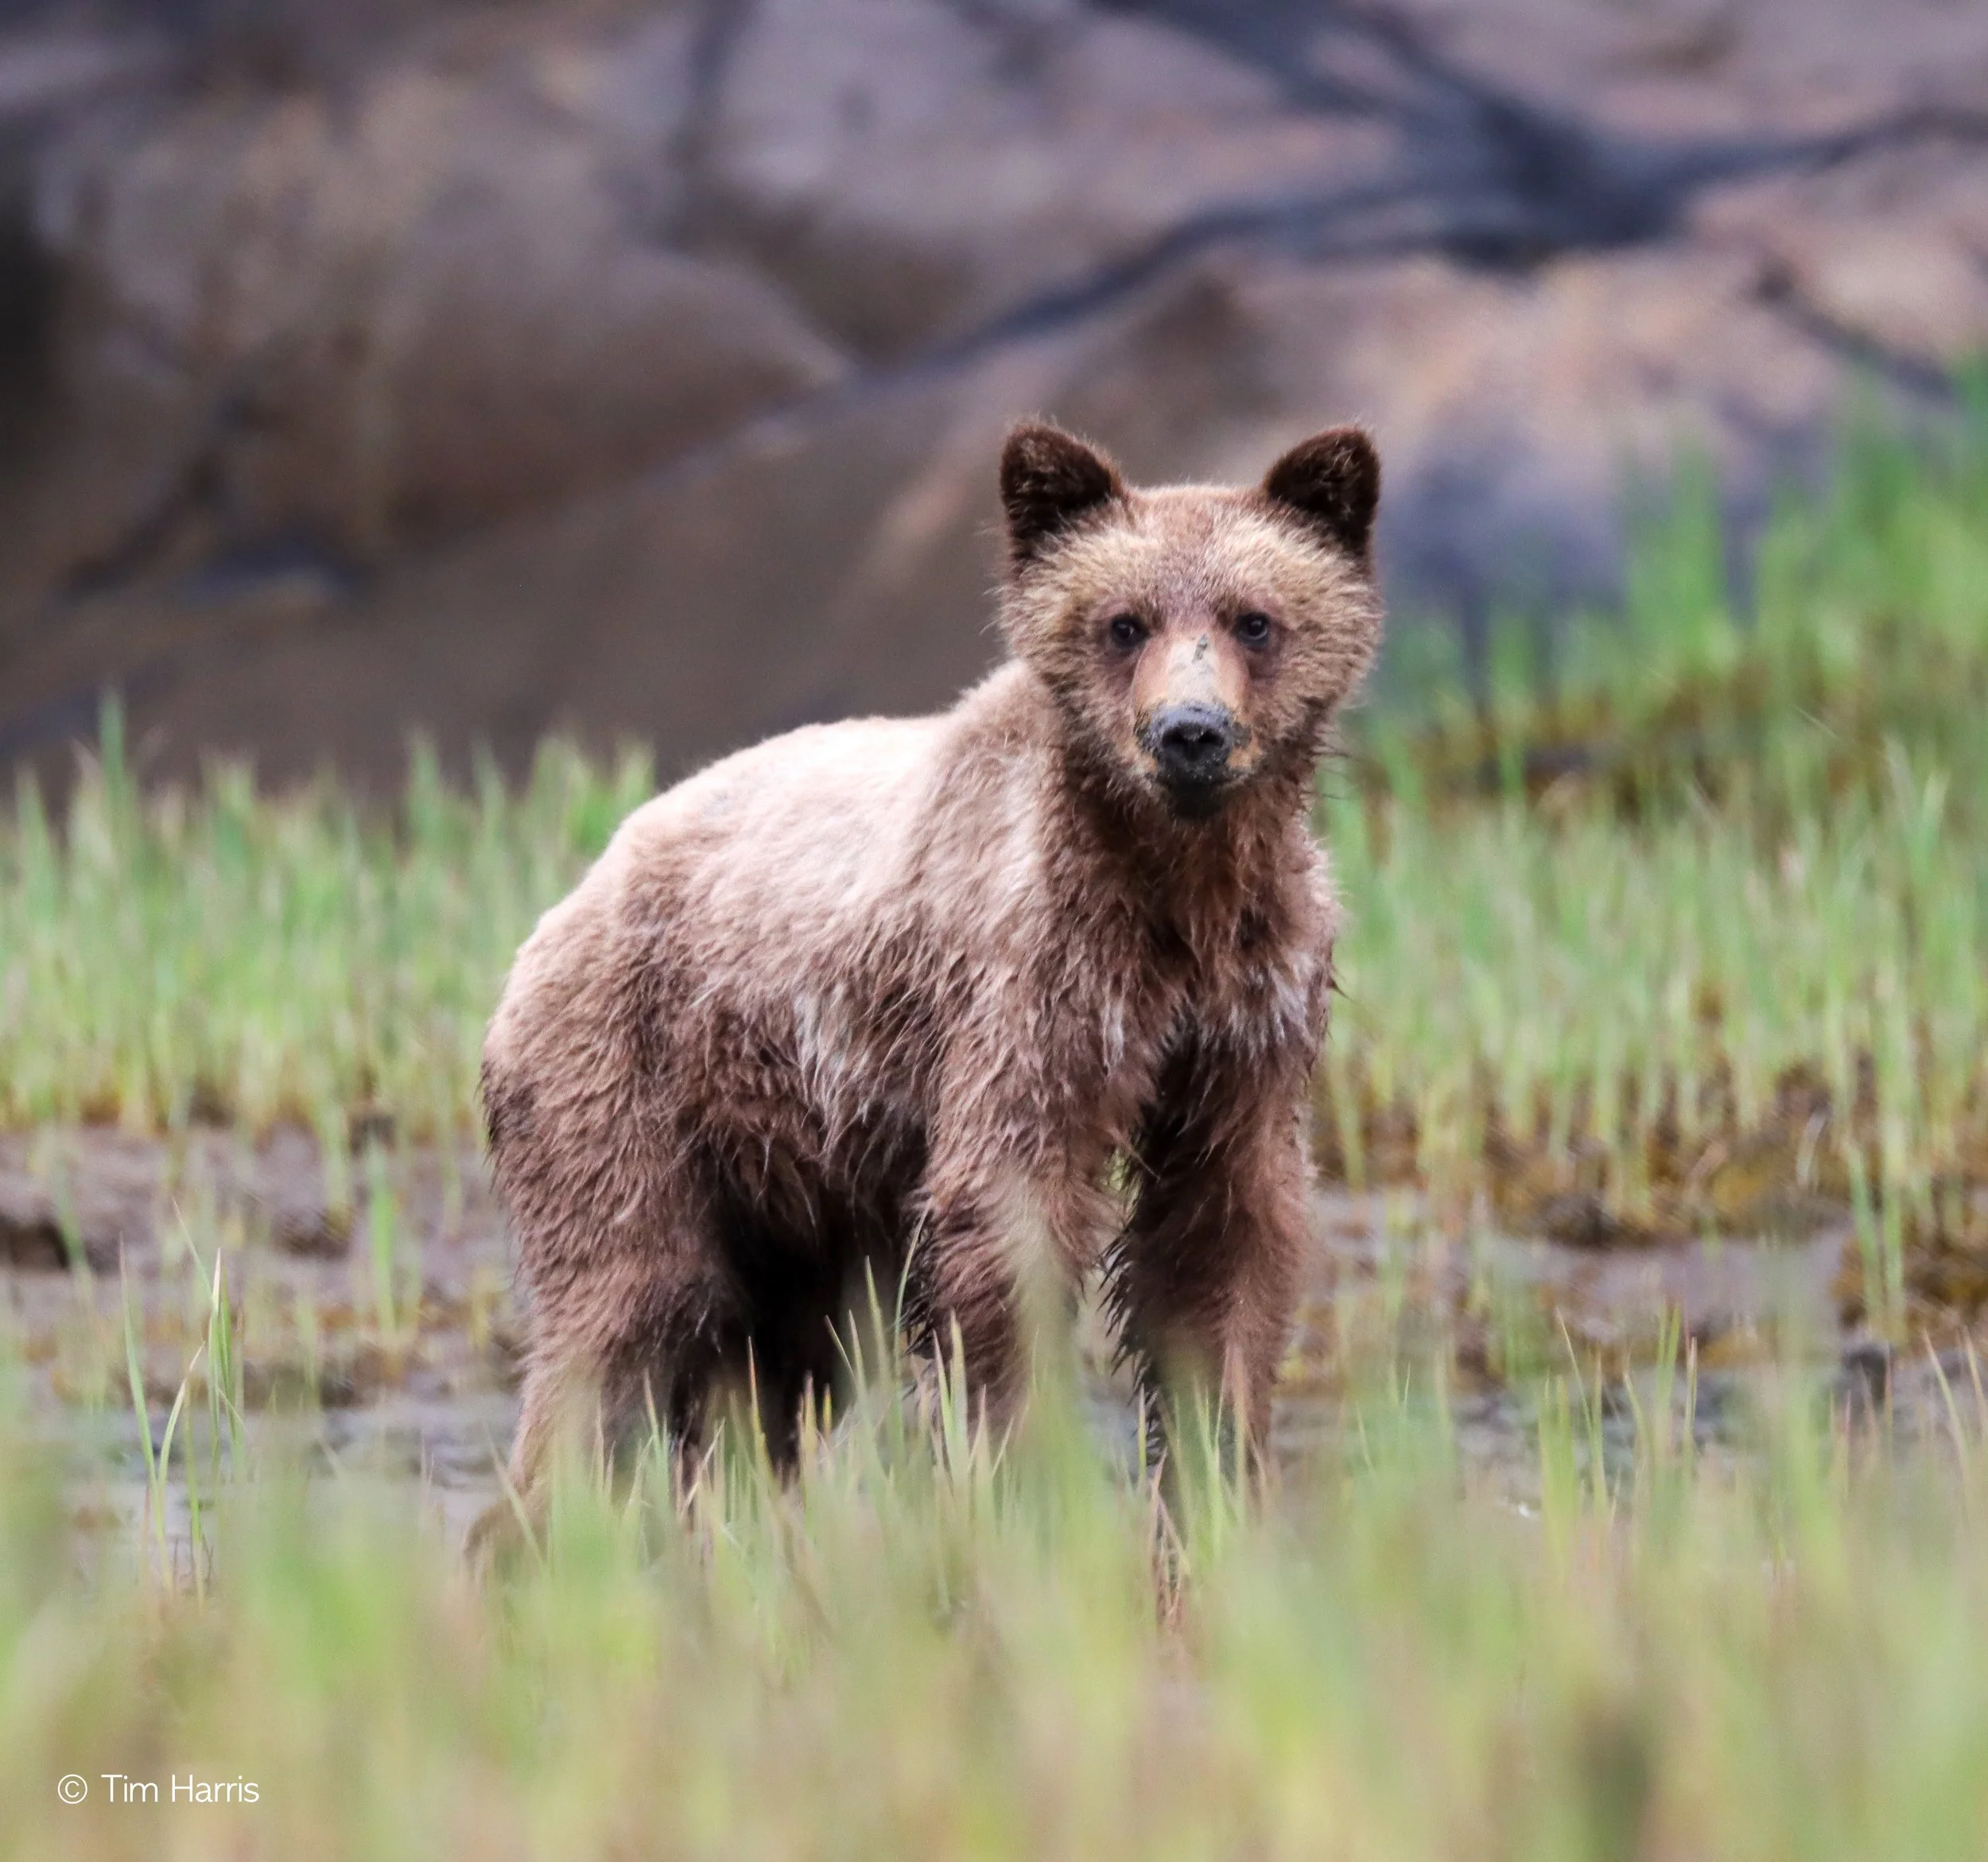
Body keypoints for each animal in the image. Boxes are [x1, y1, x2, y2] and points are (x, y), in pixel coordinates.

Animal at [479, 420, 1383, 1516]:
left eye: (1254, 620)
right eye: (1122, 624)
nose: (1189, 734)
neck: (1175, 886)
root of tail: (556, 913)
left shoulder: (1248, 1008)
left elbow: (1222, 1245)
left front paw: (1215, 1490)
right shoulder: (1030, 979)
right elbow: (1005, 1226)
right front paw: (1020, 1486)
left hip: (790, 1187)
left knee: (766, 1379)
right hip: (628, 1077)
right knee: (623, 1318)